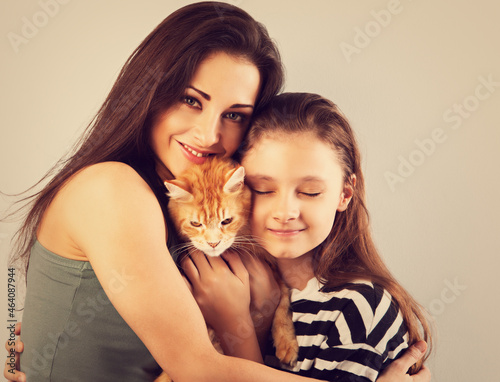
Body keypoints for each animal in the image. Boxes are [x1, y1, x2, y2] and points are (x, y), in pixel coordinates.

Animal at [156, 157, 296, 380]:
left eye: (227, 221)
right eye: (195, 224)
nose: (213, 243)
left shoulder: (273, 267)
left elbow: (283, 302)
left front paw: (287, 343)